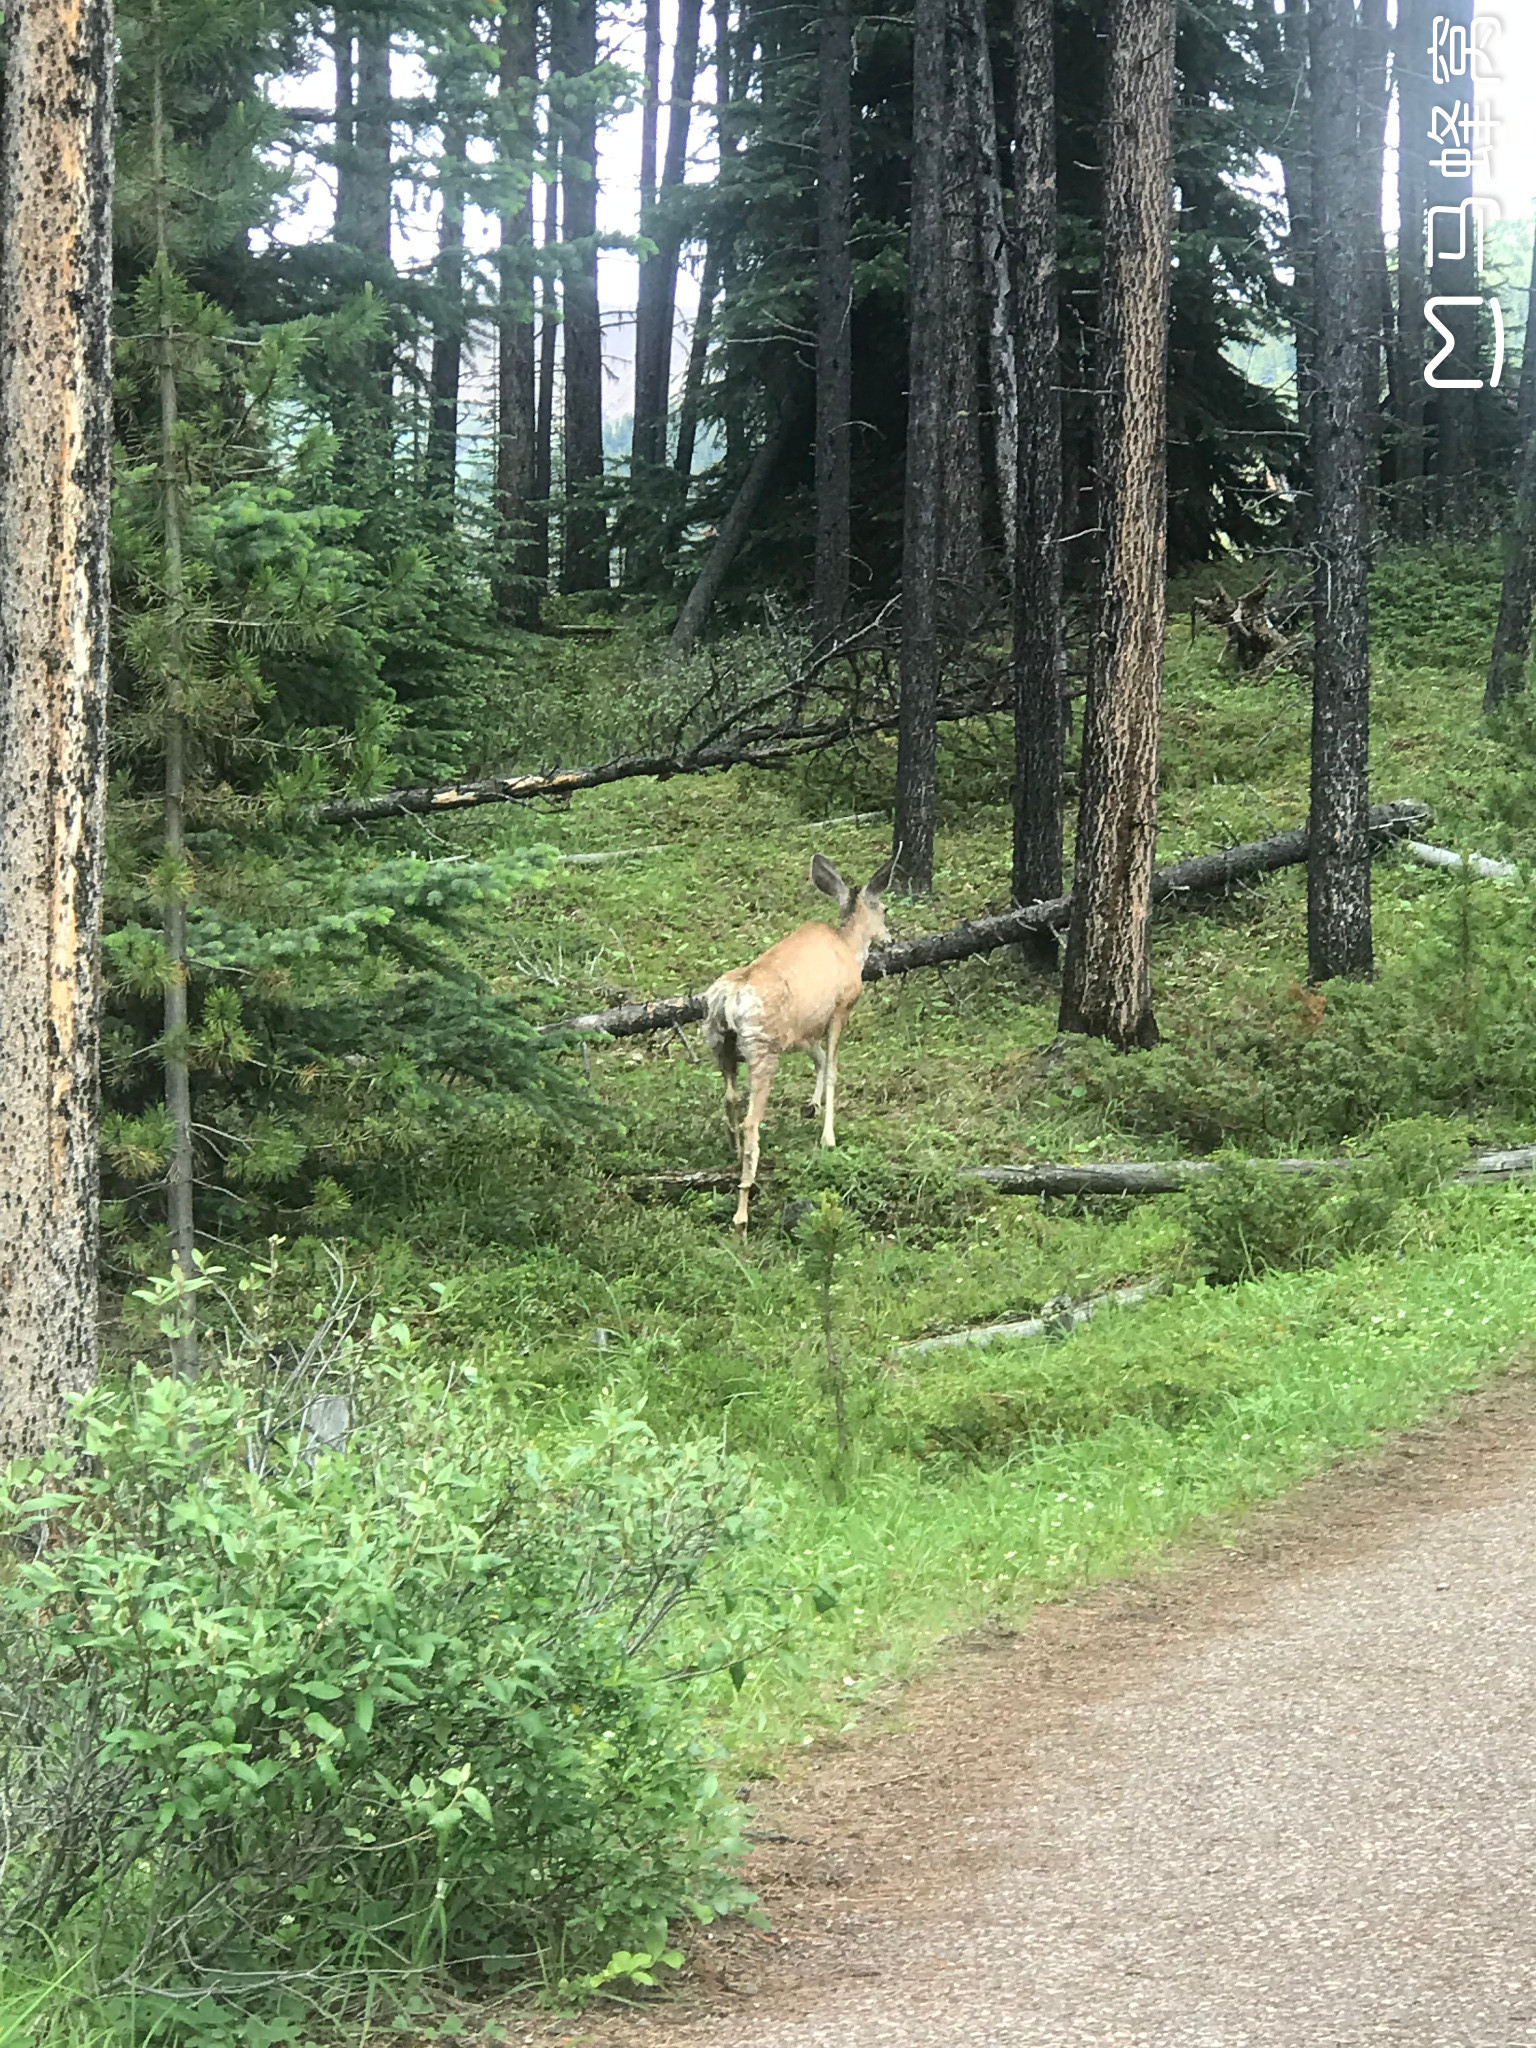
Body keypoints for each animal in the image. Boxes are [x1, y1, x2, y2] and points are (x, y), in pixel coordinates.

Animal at [700, 851, 897, 1220]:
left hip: (720, 1044)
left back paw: (732, 1155)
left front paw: (811, 1106)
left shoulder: (804, 1030)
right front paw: (828, 1137)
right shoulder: (840, 1008)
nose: (889, 940)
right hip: (762, 1048)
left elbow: (818, 1060)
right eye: (885, 908)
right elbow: (833, 1069)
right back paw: (742, 1209)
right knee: (751, 1121)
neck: (850, 949)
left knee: (730, 1099)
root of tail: (729, 998)